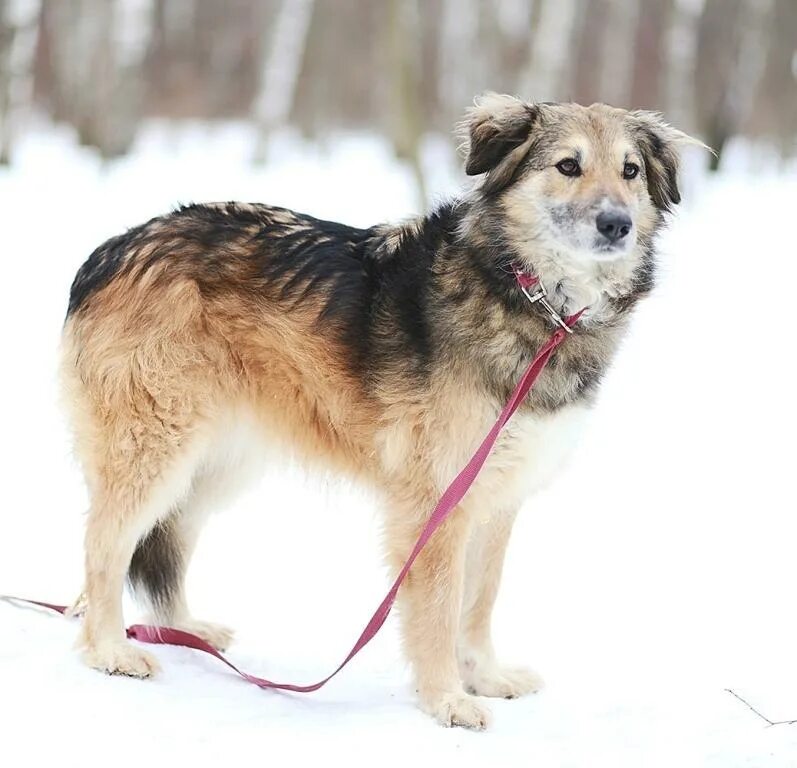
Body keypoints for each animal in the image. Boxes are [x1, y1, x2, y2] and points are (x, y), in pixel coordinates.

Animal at [60, 94, 696, 728]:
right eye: (568, 165)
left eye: (630, 171)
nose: (617, 224)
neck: (530, 295)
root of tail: (112, 250)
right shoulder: (439, 499)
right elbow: (439, 608)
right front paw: (446, 698)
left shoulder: (498, 497)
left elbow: (481, 598)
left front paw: (485, 677)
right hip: (156, 448)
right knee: (103, 545)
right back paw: (110, 648)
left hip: (216, 465)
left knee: (167, 541)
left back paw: (186, 631)